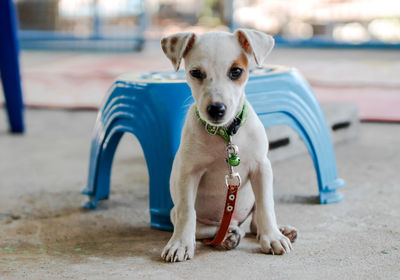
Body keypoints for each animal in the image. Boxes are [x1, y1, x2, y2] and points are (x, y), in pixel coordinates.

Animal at [160, 29, 296, 262]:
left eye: (236, 71)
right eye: (196, 73)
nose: (216, 109)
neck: (225, 135)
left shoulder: (261, 168)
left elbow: (266, 206)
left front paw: (272, 237)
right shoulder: (187, 174)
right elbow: (188, 213)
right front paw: (179, 244)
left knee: (254, 223)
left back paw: (277, 230)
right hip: (175, 213)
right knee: (209, 228)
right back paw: (226, 237)